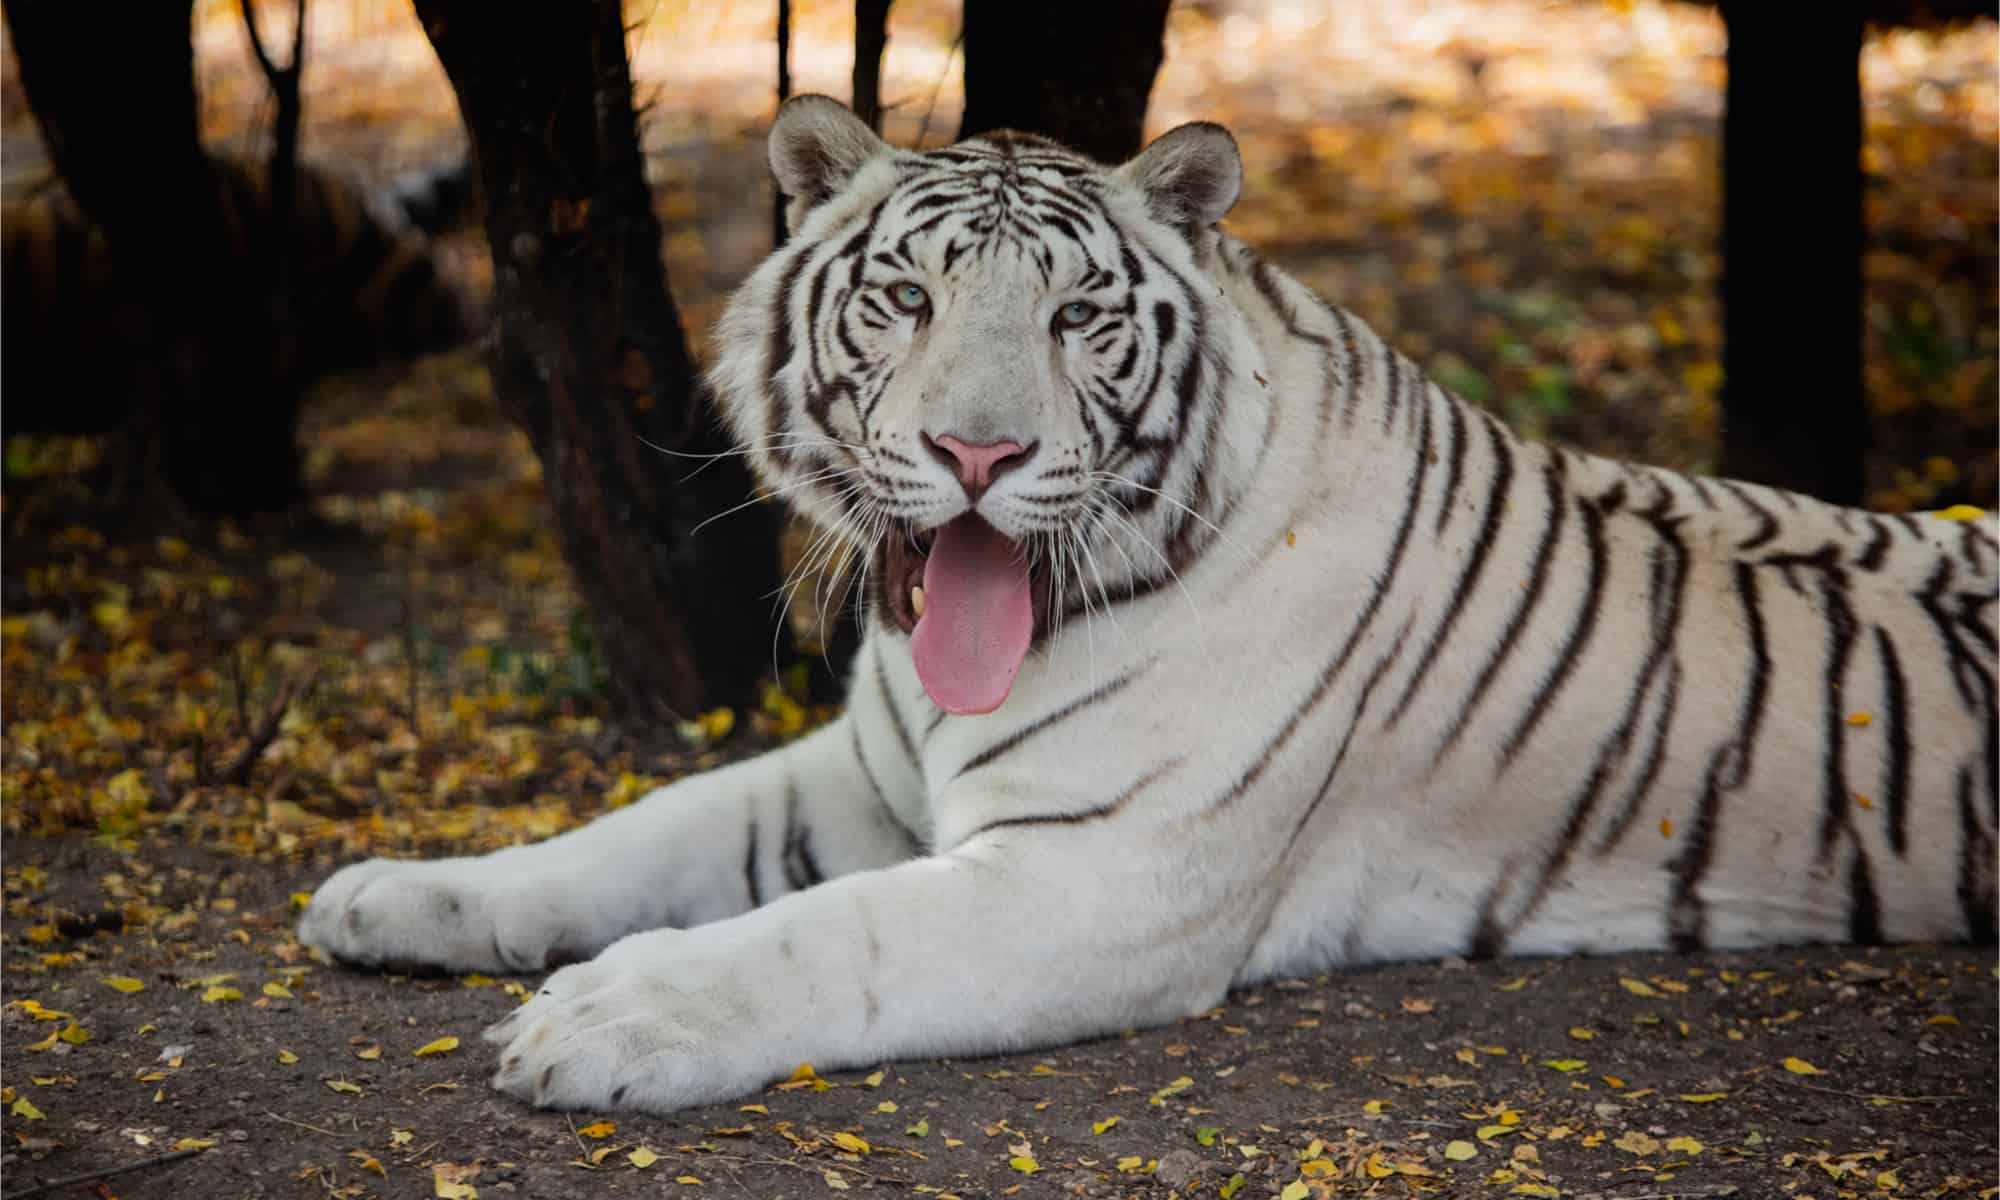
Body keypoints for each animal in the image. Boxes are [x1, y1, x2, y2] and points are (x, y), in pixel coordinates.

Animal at [300, 96, 2000, 1112]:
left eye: (1075, 319)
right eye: (906, 299)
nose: (976, 453)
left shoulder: (1099, 876)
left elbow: (823, 936)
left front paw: (599, 1022)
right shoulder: (859, 778)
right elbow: (626, 835)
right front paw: (388, 896)